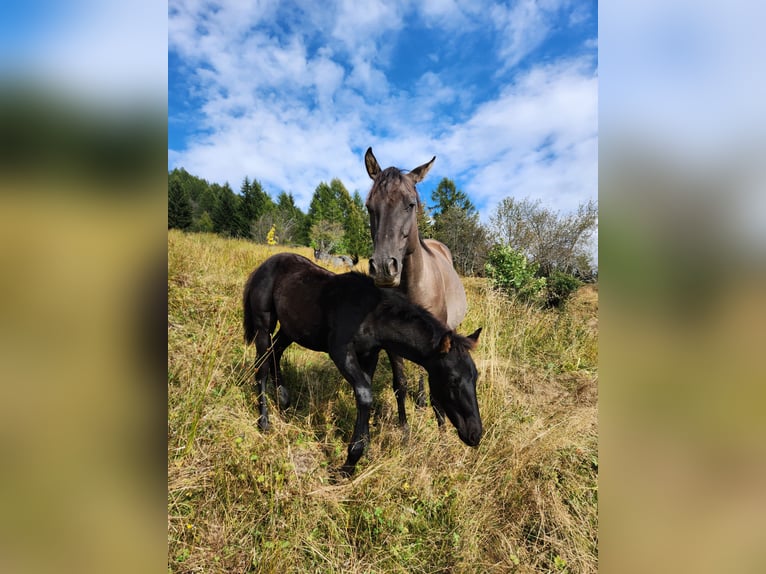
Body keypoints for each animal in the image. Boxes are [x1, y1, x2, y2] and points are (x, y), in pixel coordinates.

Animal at [243, 254, 484, 480]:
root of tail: (265, 264)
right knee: (261, 366)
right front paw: (350, 463)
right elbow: (365, 394)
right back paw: (264, 422)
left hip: (291, 329)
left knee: (275, 353)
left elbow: (365, 393)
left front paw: (364, 451)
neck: (372, 315)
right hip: (263, 325)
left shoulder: (369, 355)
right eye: (452, 380)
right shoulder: (341, 352)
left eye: (475, 377)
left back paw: (284, 403)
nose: (475, 434)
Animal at [364, 148, 472, 432]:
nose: (383, 267)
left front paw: (442, 428)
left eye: (410, 204)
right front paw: (404, 429)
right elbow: (400, 384)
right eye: (369, 206)